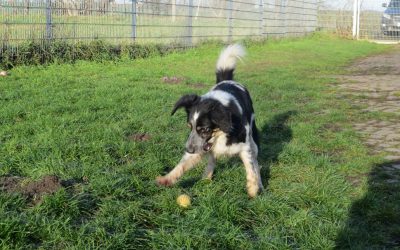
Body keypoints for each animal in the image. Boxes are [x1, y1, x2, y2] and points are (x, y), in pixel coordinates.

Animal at [156, 45, 262, 197]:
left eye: (205, 129)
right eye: (190, 126)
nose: (188, 149)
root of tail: (227, 81)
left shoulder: (245, 146)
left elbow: (251, 168)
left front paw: (253, 188)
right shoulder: (199, 146)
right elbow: (182, 164)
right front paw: (166, 179)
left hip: (254, 141)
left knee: (256, 162)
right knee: (212, 160)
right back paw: (206, 178)